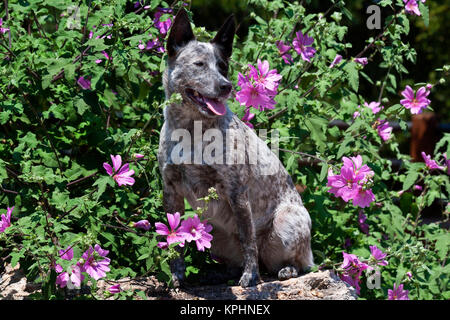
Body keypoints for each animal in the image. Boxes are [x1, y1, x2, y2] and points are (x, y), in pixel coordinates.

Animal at [158, 9, 312, 288]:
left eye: (223, 66)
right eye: (199, 64)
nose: (226, 86)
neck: (191, 130)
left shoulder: (237, 191)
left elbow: (247, 239)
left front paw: (251, 278)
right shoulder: (170, 190)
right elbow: (175, 242)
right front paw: (176, 276)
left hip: (286, 224)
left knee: (295, 263)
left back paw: (285, 270)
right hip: (213, 232)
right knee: (233, 262)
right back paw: (216, 274)